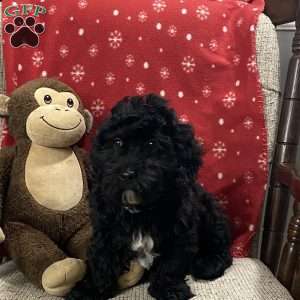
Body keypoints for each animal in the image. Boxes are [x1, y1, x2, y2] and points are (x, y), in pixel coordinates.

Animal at [67, 94, 232, 300]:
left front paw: (169, 288)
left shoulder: (180, 231)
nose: (128, 173)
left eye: (152, 144)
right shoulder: (106, 228)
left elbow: (172, 263)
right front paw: (90, 289)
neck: (141, 208)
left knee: (220, 243)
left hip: (209, 210)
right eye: (117, 142)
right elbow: (102, 258)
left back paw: (209, 263)